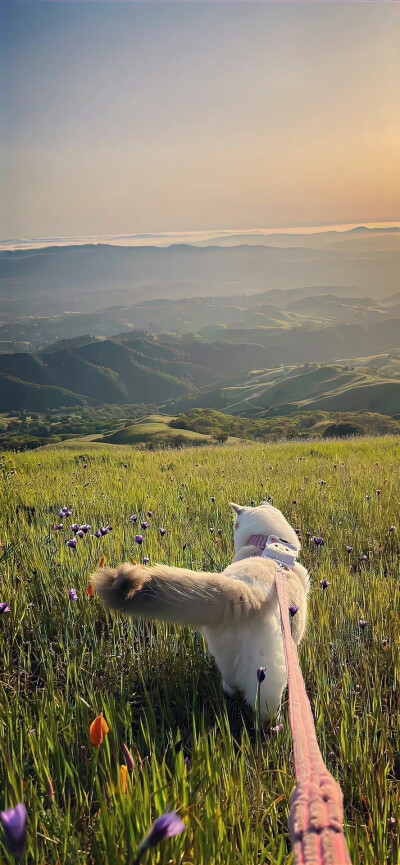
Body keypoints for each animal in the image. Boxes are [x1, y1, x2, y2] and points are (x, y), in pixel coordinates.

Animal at [91, 500, 310, 716]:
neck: (267, 549)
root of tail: (248, 595)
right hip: (269, 678)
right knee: (264, 711)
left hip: (225, 654)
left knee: (230, 684)